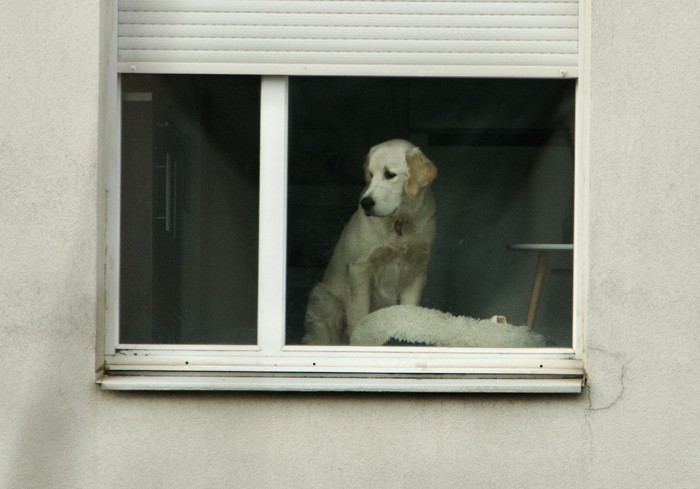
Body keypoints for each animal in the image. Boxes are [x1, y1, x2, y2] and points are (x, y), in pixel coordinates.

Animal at [302, 137, 434, 344]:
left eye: (390, 175)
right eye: (370, 175)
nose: (366, 203)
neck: (398, 223)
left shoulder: (417, 269)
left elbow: (409, 309)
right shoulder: (360, 269)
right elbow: (359, 315)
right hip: (325, 300)